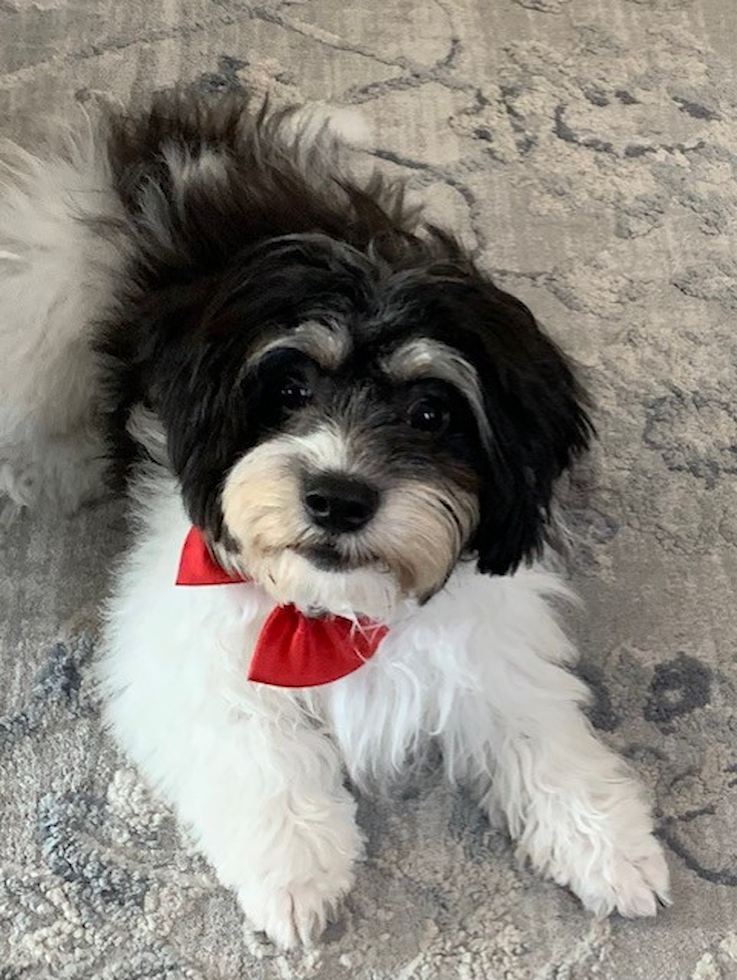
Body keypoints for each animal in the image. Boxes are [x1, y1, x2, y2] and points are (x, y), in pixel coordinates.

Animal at [0, 95, 668, 944]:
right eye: (289, 390)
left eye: (430, 413)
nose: (338, 498)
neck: (333, 611)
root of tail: (174, 134)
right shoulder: (182, 647)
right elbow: (253, 745)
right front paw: (294, 876)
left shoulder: (490, 640)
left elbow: (539, 731)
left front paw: (607, 844)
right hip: (45, 292)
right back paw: (52, 468)